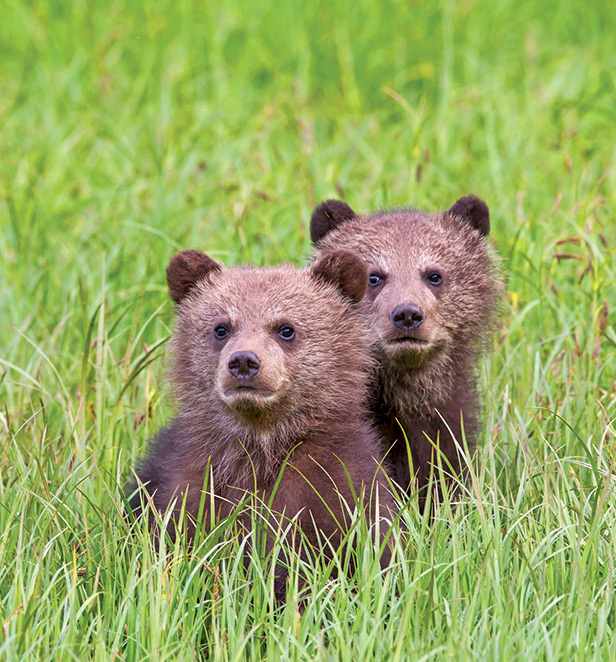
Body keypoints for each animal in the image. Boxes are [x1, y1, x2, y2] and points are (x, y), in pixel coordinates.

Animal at [128, 248, 396, 597]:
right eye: (221, 327)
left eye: (286, 328)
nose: (244, 361)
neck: (262, 443)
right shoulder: (181, 487)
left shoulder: (338, 488)